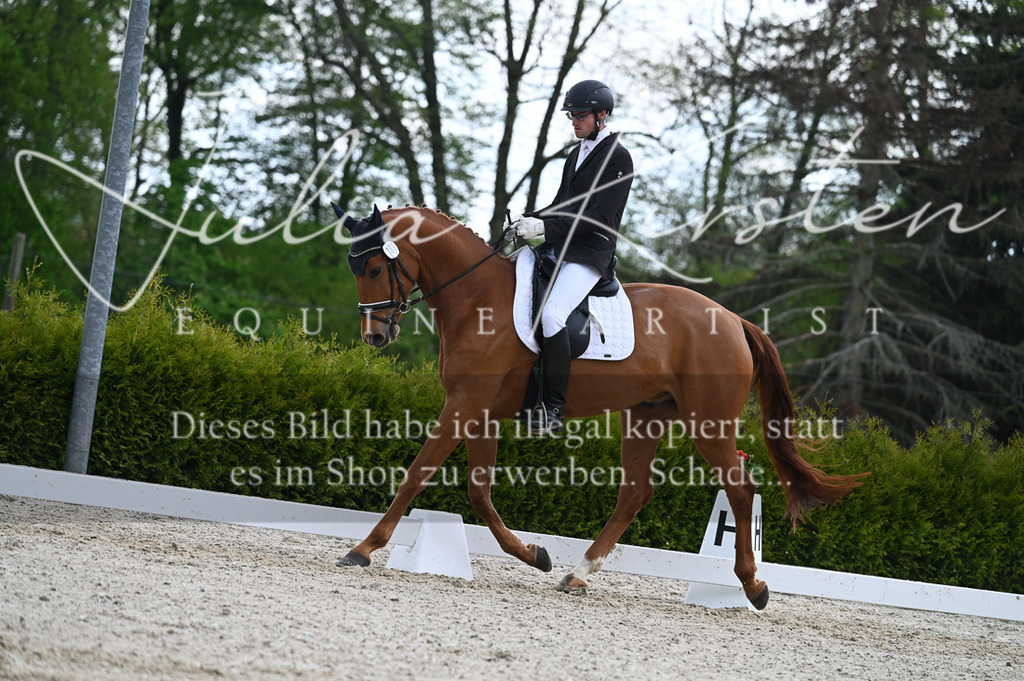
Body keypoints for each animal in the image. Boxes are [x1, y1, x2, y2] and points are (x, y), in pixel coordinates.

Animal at [331, 203, 866, 610]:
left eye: (375, 269)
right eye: (355, 271)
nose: (375, 336)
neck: (476, 299)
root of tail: (734, 319)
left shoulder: (465, 405)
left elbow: (418, 472)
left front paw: (364, 548)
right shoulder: (479, 411)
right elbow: (479, 492)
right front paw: (534, 554)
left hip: (708, 422)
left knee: (740, 488)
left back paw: (753, 586)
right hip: (648, 414)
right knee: (636, 492)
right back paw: (579, 573)